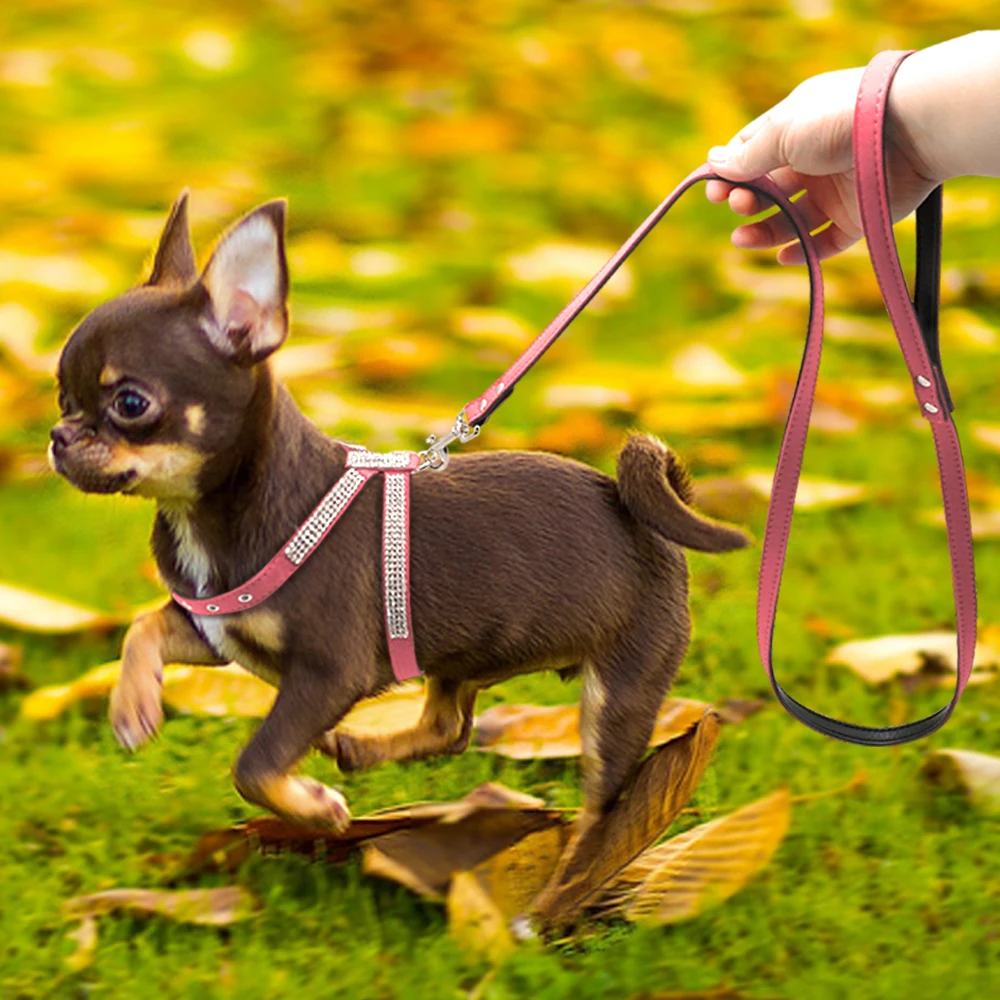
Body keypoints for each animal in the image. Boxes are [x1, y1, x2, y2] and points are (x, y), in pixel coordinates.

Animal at [48, 191, 752, 840]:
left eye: (130, 404)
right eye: (61, 395)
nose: (58, 436)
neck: (209, 511)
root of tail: (643, 516)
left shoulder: (328, 675)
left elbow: (254, 764)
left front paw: (315, 809)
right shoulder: (217, 629)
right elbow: (142, 626)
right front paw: (132, 706)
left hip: (621, 690)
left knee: (598, 807)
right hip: (464, 657)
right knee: (450, 727)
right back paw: (363, 749)